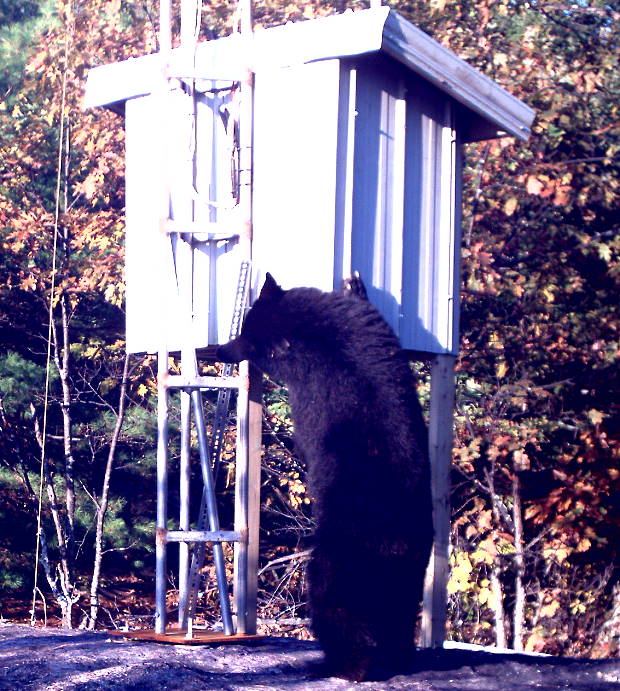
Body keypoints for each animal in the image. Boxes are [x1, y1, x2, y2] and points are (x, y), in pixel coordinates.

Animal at [217, 272, 432, 680]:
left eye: (247, 326)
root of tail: (391, 544)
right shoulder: (368, 328)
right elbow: (372, 314)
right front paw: (356, 284)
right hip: (409, 576)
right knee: (397, 620)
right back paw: (396, 658)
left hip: (335, 570)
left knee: (338, 616)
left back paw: (337, 665)